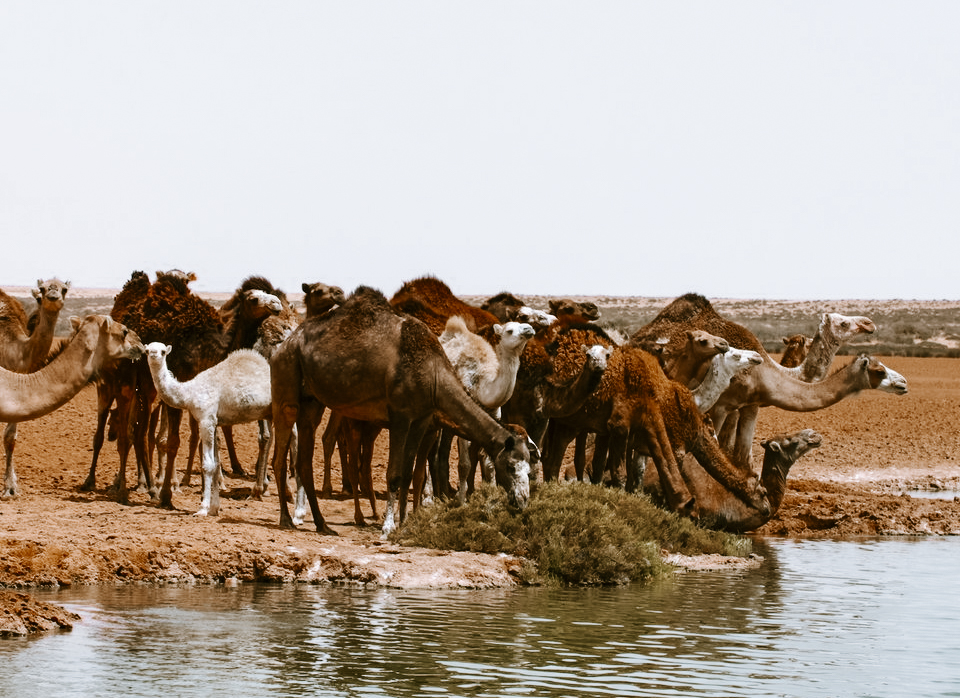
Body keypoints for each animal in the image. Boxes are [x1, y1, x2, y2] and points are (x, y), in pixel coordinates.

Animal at [146, 342, 274, 516]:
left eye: (163, 351)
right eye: (147, 350)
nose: (153, 354)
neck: (189, 393)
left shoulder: (206, 419)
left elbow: (207, 464)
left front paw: (203, 508)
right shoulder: (214, 422)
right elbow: (215, 462)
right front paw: (214, 508)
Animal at [270, 286, 536, 536]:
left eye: (529, 466)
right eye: (511, 466)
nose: (523, 501)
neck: (433, 374)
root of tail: (286, 343)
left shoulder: (421, 420)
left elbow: (410, 474)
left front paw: (405, 522)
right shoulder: (400, 416)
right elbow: (395, 473)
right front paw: (388, 527)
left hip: (313, 401)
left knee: (305, 460)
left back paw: (322, 524)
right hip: (286, 384)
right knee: (281, 453)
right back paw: (286, 519)